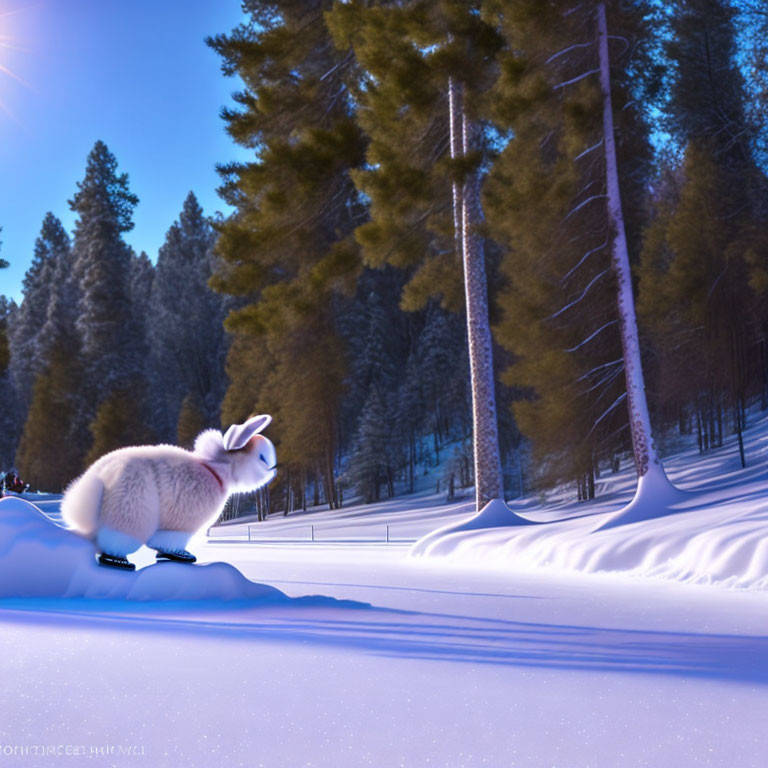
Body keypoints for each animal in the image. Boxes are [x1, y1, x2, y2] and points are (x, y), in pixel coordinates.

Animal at [60, 414, 276, 568]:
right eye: (262, 458)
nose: (274, 469)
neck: (218, 468)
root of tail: (101, 478)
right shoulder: (181, 524)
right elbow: (168, 542)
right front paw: (180, 555)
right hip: (132, 507)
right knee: (115, 541)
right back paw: (119, 561)